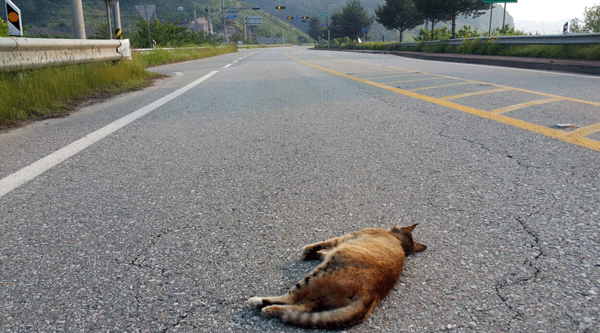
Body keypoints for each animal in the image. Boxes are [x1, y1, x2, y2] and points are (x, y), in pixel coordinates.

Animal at [245, 222, 426, 328]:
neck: (399, 241)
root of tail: (370, 296)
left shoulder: (346, 237)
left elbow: (326, 242)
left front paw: (309, 250)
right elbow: (323, 251)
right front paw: (314, 253)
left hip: (316, 276)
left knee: (291, 299)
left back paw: (260, 303)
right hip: (322, 294)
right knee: (303, 307)